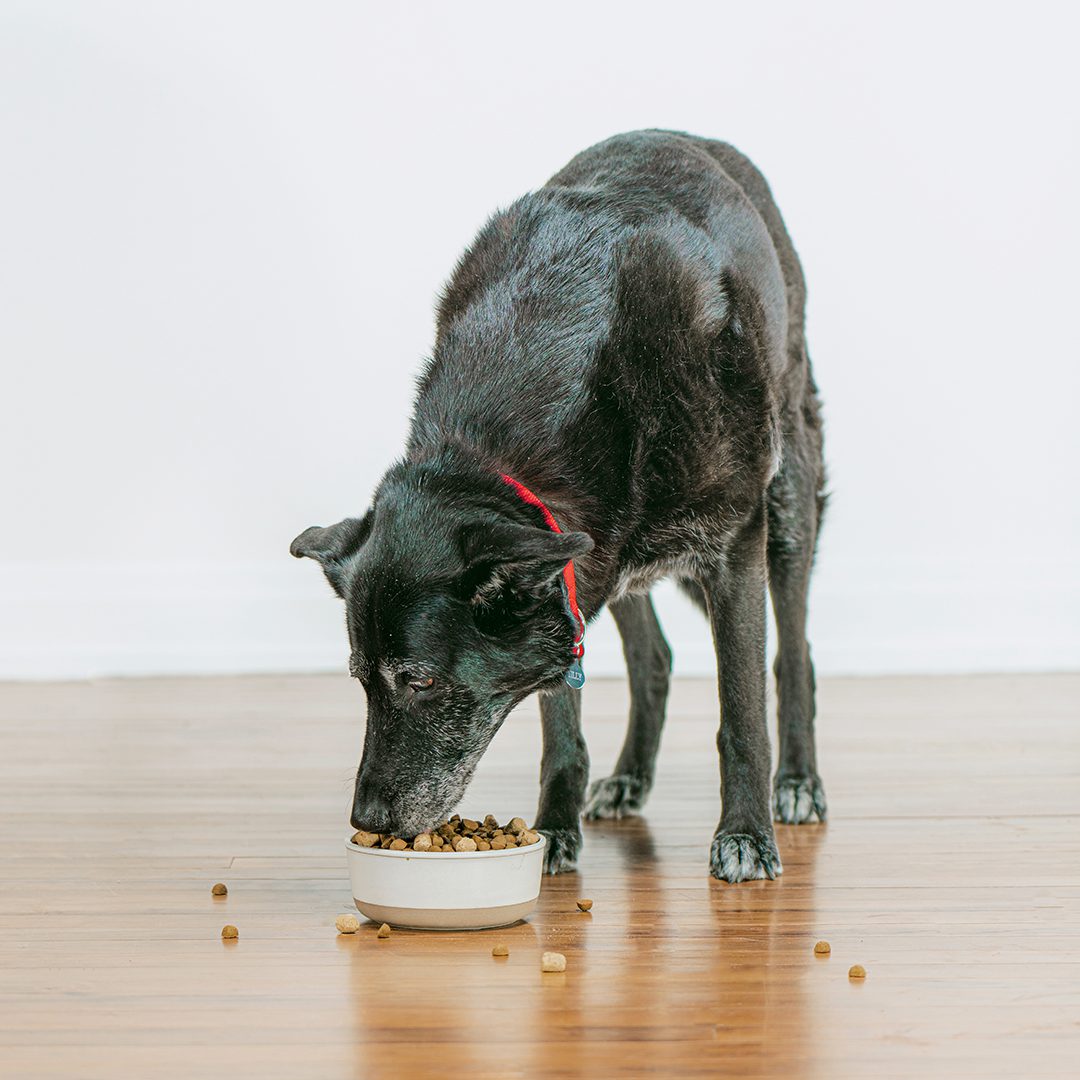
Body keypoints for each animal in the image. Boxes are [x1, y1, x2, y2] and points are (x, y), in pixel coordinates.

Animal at [291, 130, 820, 881]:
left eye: (419, 681)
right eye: (360, 680)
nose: (367, 819)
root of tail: (696, 140)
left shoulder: (731, 546)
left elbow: (742, 713)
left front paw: (745, 834)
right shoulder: (567, 575)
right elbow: (561, 728)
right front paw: (553, 830)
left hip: (788, 499)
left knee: (794, 649)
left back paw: (798, 782)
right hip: (617, 556)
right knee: (654, 657)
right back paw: (630, 777)